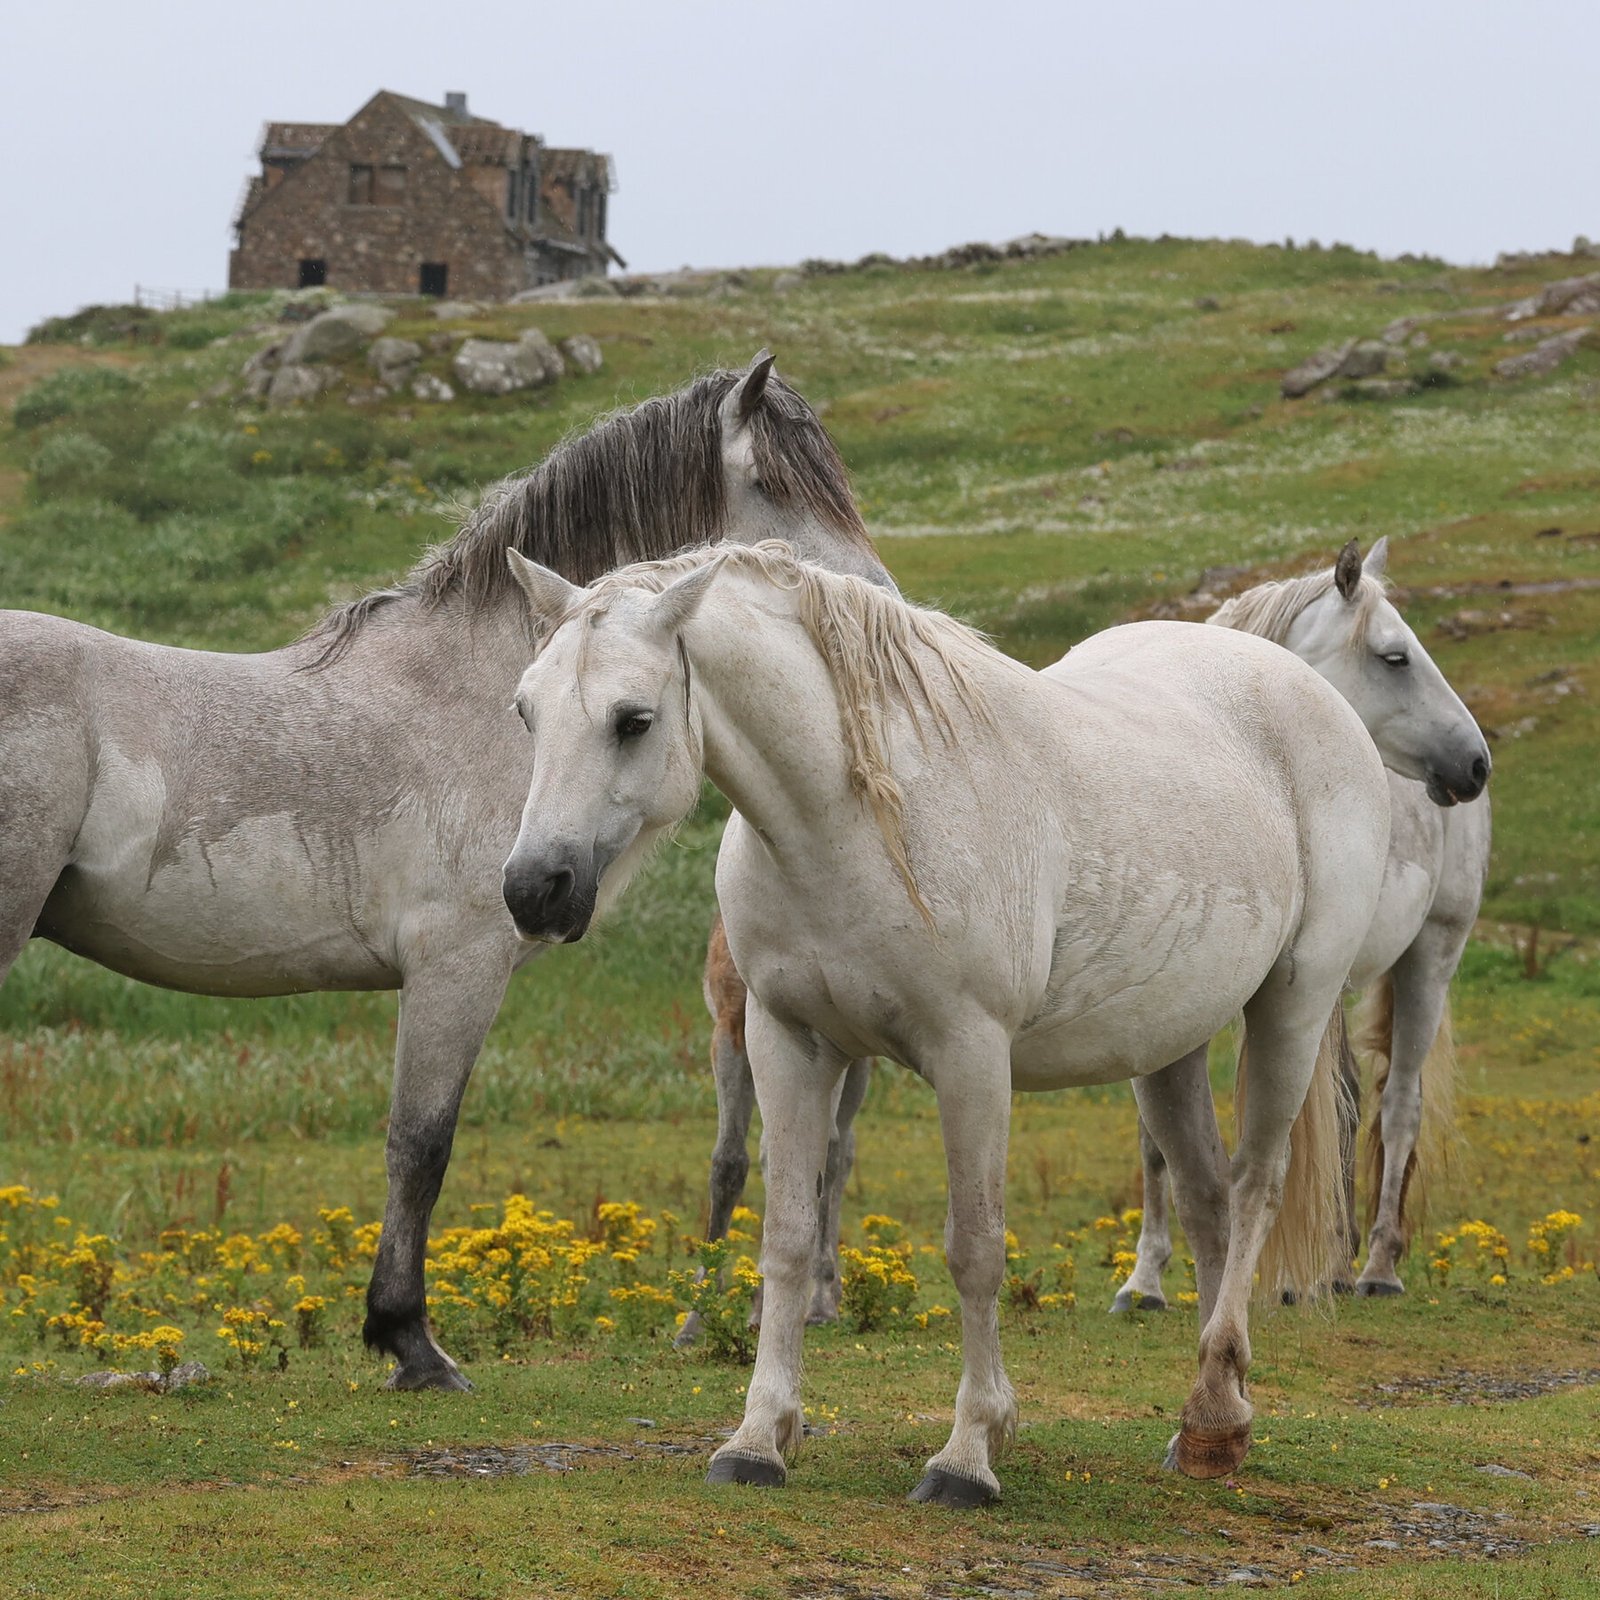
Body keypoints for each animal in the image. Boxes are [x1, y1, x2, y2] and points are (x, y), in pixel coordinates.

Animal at [0, 353, 888, 1391]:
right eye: (784, 490)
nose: (883, 602)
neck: (492, 704)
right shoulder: (455, 968)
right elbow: (420, 1146)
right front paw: (410, 1342)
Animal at [501, 540, 1397, 1502]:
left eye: (632, 720)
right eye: (525, 710)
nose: (533, 890)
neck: (856, 821)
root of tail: (1311, 693)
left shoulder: (970, 1056)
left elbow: (975, 1249)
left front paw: (969, 1452)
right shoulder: (787, 1044)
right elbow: (787, 1238)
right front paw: (757, 1438)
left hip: (1292, 1008)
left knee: (1256, 1184)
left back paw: (1212, 1417)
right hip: (1169, 1047)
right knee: (1206, 1201)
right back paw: (1211, 1421)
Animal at [1114, 537, 1491, 1311]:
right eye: (1395, 656)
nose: (1474, 763)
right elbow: (1157, 1139)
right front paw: (1145, 1280)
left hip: (1430, 957)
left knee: (1397, 1103)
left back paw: (1375, 1265)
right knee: (1347, 1099)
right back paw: (1336, 1264)